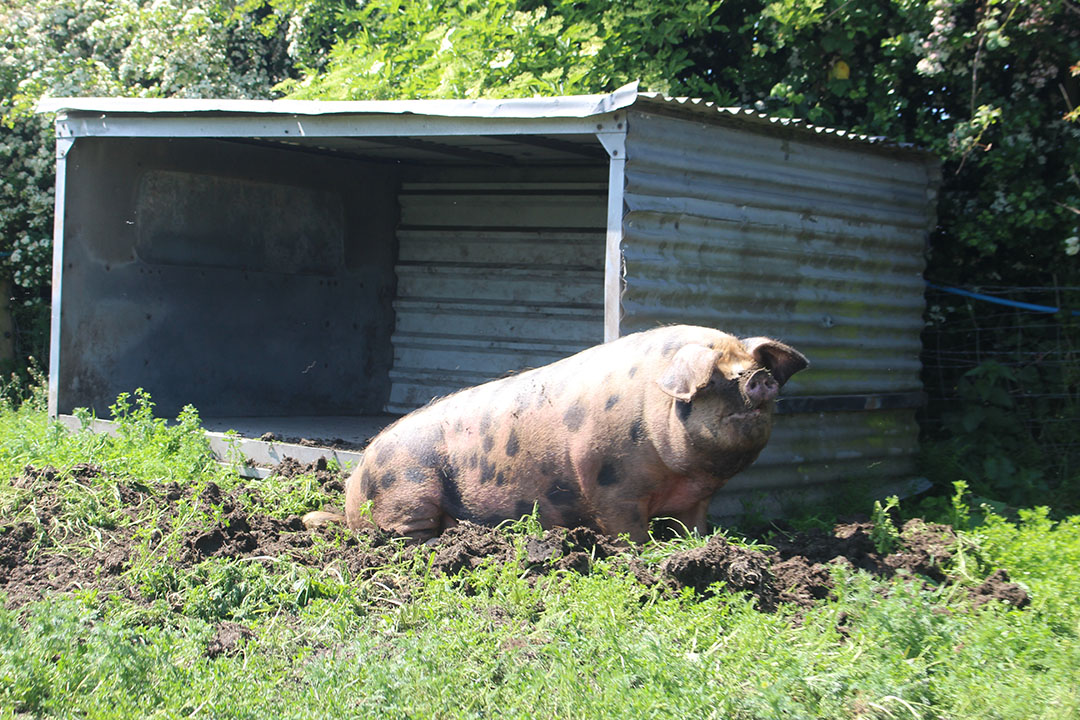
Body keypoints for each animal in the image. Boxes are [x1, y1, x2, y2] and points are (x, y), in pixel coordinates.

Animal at [341, 325, 807, 539]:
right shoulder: (610, 483)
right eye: (721, 378)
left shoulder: (696, 500)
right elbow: (628, 532)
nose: (761, 377)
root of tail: (354, 478)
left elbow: (692, 529)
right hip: (407, 491)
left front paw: (697, 548)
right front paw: (644, 556)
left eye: (750, 367)